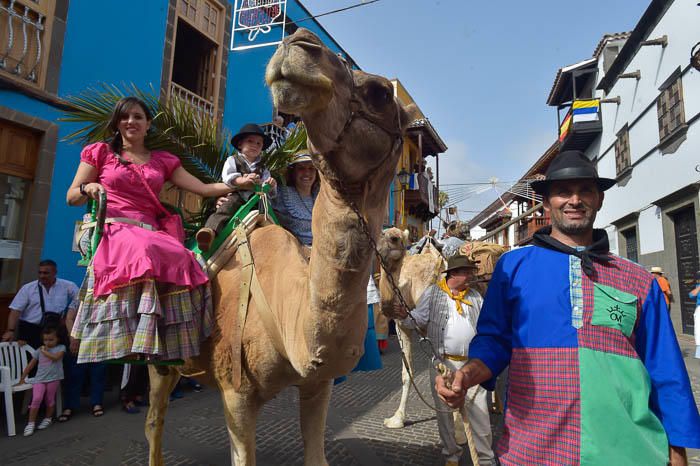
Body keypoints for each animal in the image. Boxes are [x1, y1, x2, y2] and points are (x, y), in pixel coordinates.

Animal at [142, 29, 416, 466]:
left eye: (377, 92)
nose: (300, 41)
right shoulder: (237, 393)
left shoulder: (317, 383)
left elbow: (316, 454)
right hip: (159, 360)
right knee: (154, 419)